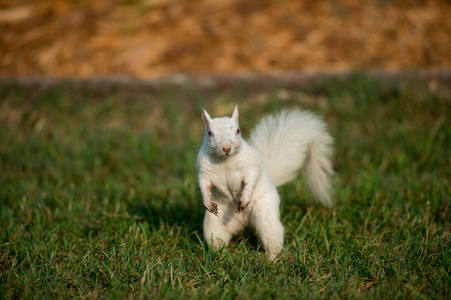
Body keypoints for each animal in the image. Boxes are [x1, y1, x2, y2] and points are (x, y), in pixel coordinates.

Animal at [196, 106, 334, 260]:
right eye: (210, 133)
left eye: (238, 131)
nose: (226, 148)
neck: (225, 161)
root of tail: (244, 224)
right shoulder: (204, 172)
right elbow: (204, 186)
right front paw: (207, 201)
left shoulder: (251, 166)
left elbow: (251, 180)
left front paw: (245, 198)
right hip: (214, 226)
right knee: (217, 241)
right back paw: (220, 256)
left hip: (266, 218)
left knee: (271, 238)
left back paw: (271, 259)